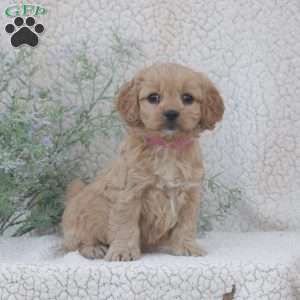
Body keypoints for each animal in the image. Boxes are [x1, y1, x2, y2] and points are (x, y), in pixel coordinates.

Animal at [62, 62, 224, 260]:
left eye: (188, 98)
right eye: (154, 97)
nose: (171, 113)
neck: (167, 147)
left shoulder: (190, 193)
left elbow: (186, 224)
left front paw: (187, 247)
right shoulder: (129, 194)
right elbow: (126, 225)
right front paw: (123, 251)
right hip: (82, 215)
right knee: (74, 243)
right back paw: (94, 248)